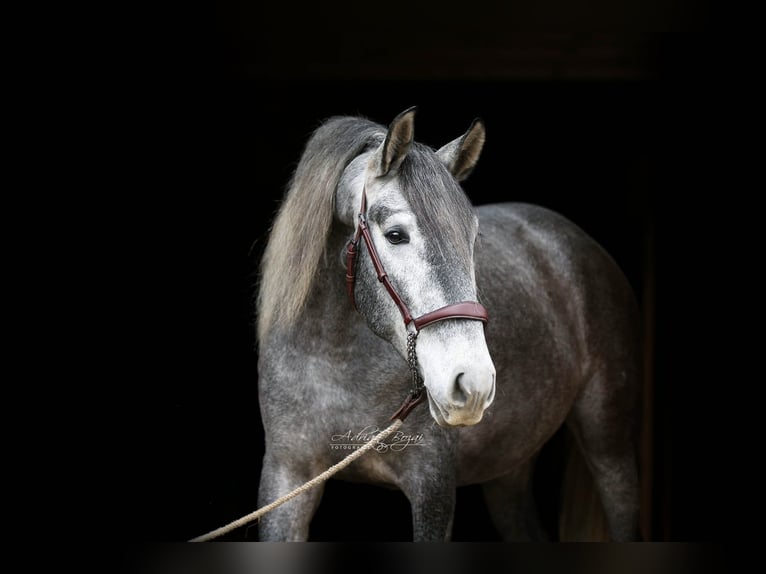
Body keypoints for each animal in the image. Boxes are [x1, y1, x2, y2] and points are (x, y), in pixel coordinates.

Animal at [255, 107, 642, 541]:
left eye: (473, 238)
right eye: (395, 235)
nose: (473, 383)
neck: (333, 359)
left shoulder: (432, 485)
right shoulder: (286, 482)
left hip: (609, 446)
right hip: (508, 471)